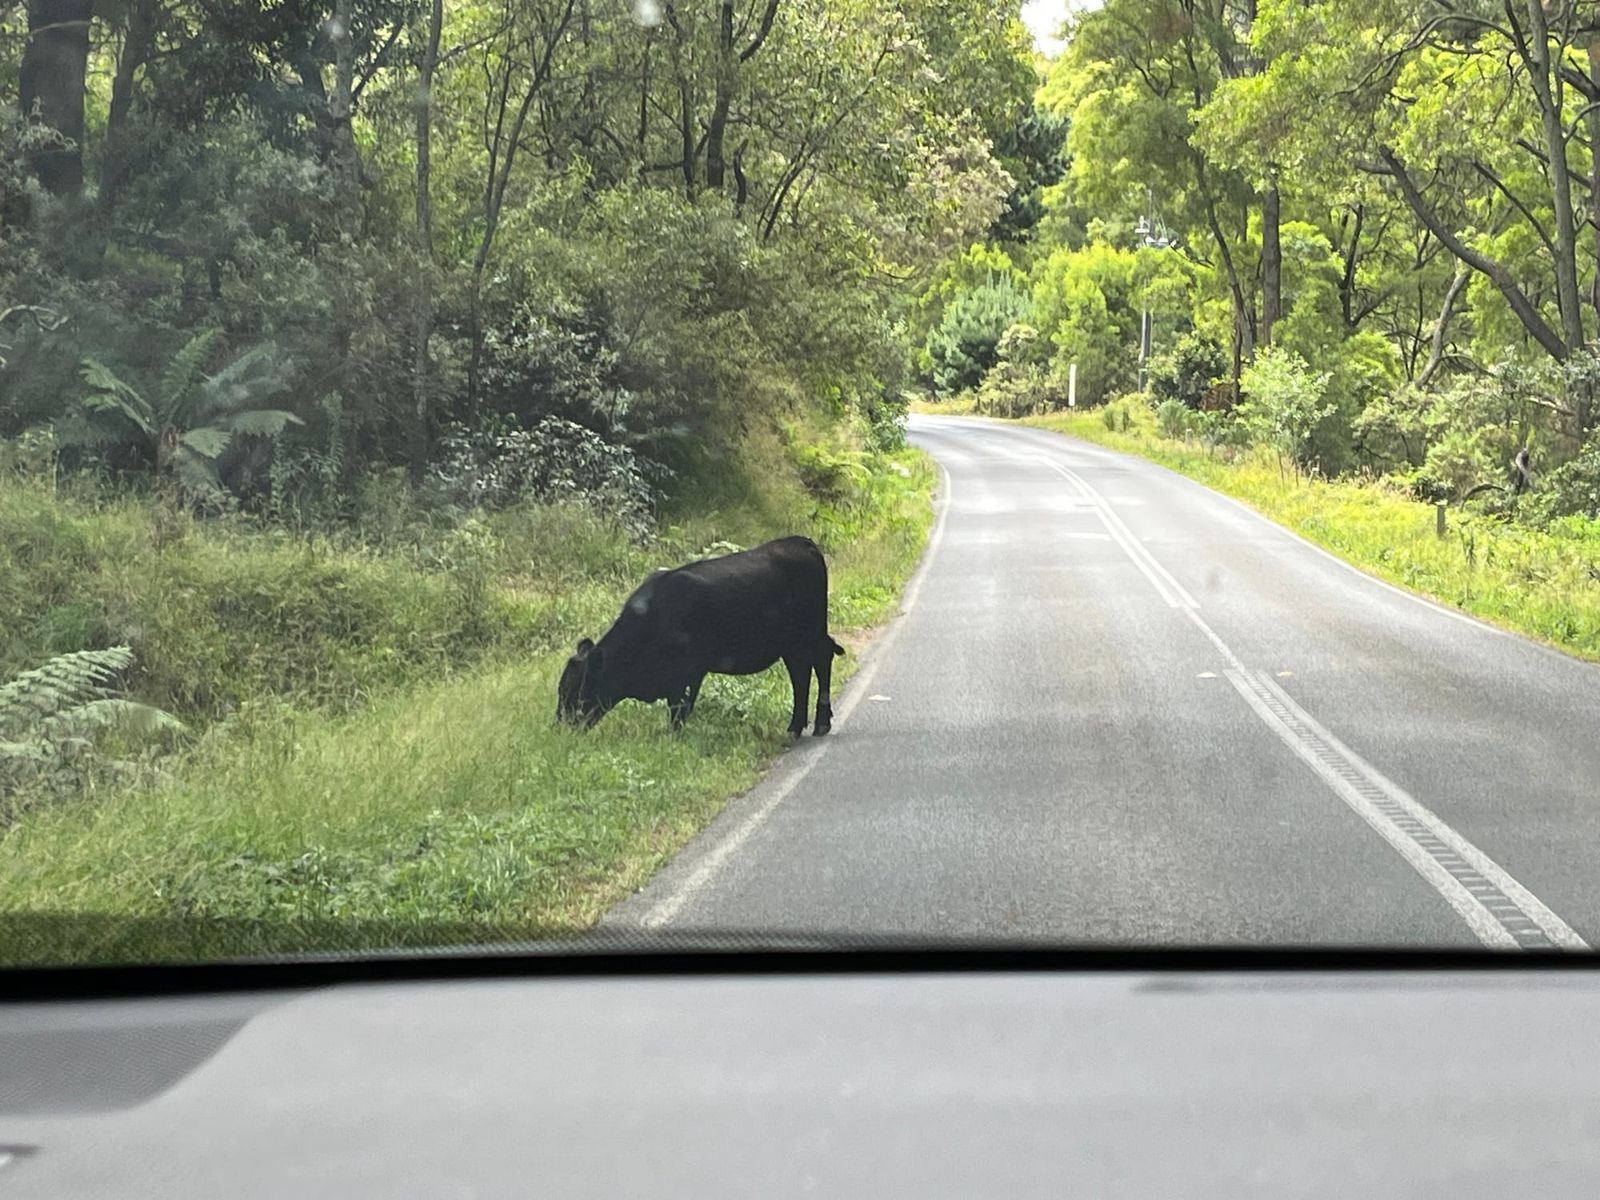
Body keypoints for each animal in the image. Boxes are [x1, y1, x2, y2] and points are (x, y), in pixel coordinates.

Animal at [556, 535, 846, 737]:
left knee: (819, 661)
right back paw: (797, 725)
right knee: (801, 673)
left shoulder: (689, 672)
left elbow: (679, 710)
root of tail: (801, 542)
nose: (560, 726)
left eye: (575, 689)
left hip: (809, 634)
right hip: (792, 643)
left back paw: (818, 723)